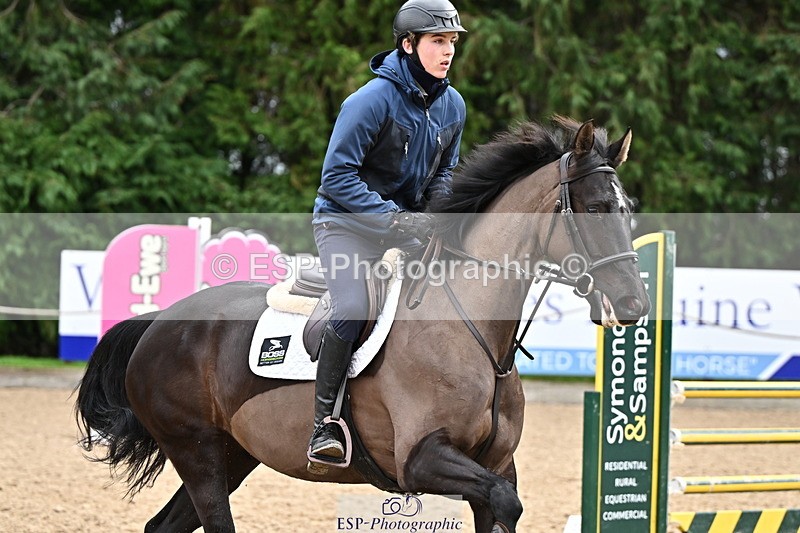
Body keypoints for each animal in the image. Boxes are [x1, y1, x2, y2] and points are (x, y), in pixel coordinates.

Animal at [76, 117, 650, 533]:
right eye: (596, 208)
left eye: (629, 210)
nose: (634, 304)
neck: (474, 332)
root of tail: (158, 322)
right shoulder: (422, 459)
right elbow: (507, 502)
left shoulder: (496, 464)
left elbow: (503, 502)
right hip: (196, 451)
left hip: (232, 452)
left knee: (163, 526)